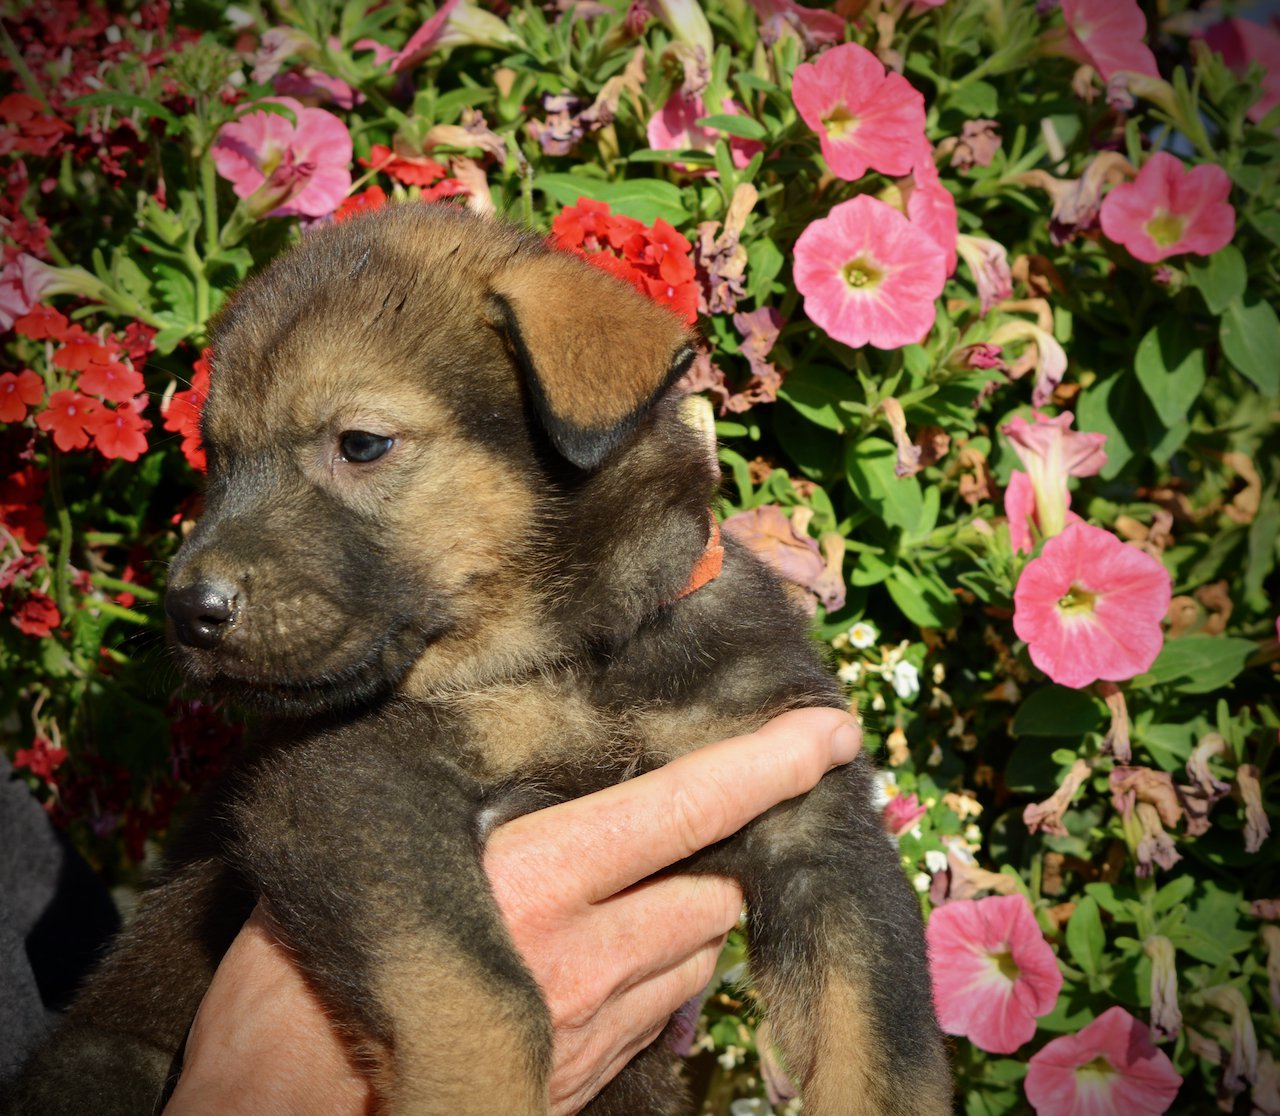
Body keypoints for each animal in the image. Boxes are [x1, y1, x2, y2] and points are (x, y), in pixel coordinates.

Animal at [5, 204, 952, 1110]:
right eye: (219, 461)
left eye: (361, 443)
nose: (187, 612)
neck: (577, 652)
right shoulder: (349, 781)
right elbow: (483, 998)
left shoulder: (817, 828)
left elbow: (889, 1049)